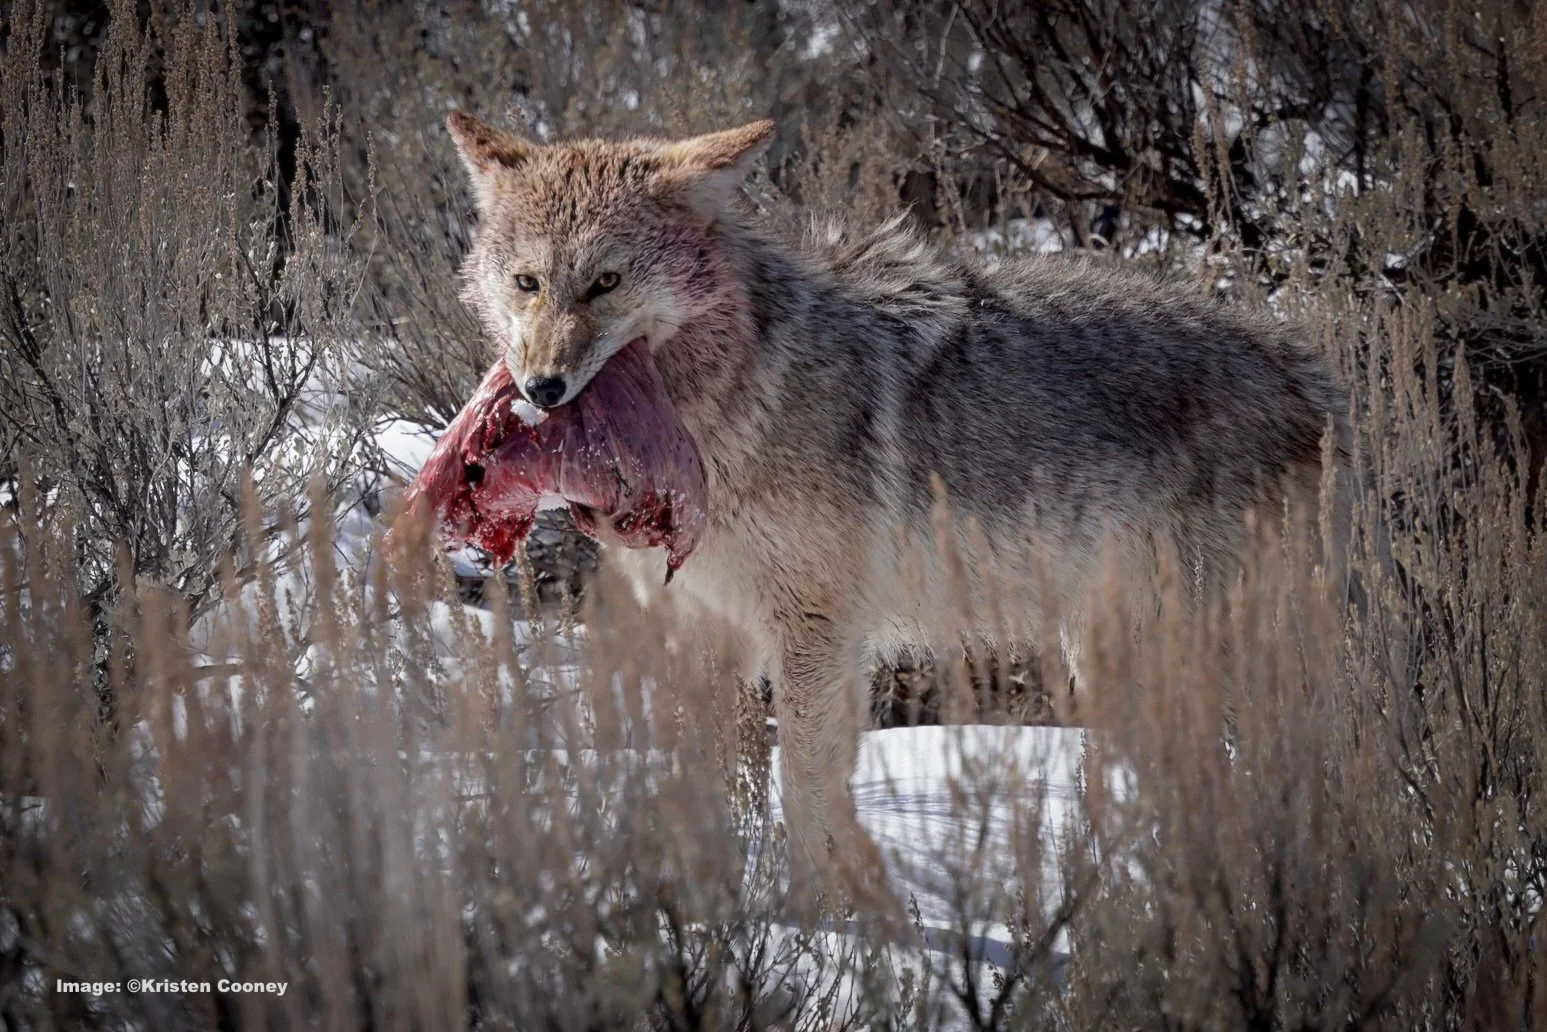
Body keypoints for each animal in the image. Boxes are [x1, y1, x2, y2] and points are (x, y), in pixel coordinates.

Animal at [442, 111, 1350, 895]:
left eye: (604, 282)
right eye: (527, 283)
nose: (542, 388)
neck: (726, 409)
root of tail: (1309, 372)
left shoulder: (817, 634)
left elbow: (805, 789)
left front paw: (819, 926)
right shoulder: (705, 631)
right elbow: (708, 781)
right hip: (1117, 662)